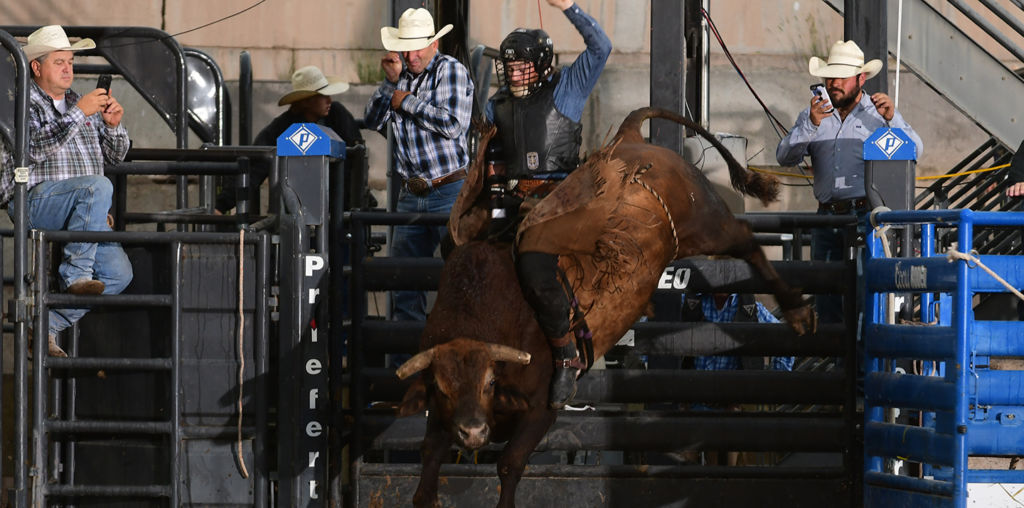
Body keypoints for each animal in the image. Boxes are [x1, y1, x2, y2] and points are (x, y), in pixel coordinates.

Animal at [395, 104, 811, 505]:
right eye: (443, 388)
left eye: (490, 381)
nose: (473, 432)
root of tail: (628, 141)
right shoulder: (442, 418)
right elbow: (425, 476)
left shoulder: (538, 412)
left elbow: (509, 466)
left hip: (704, 222)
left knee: (745, 238)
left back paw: (798, 311)